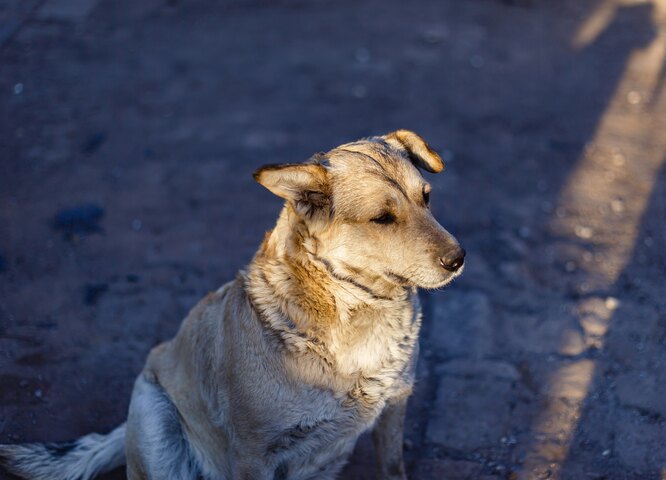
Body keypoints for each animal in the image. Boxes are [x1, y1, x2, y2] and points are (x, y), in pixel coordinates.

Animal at [0, 131, 464, 480]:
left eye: (426, 198)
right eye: (382, 218)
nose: (458, 258)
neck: (352, 309)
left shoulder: (394, 409)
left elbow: (393, 467)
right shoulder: (252, 453)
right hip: (155, 420)